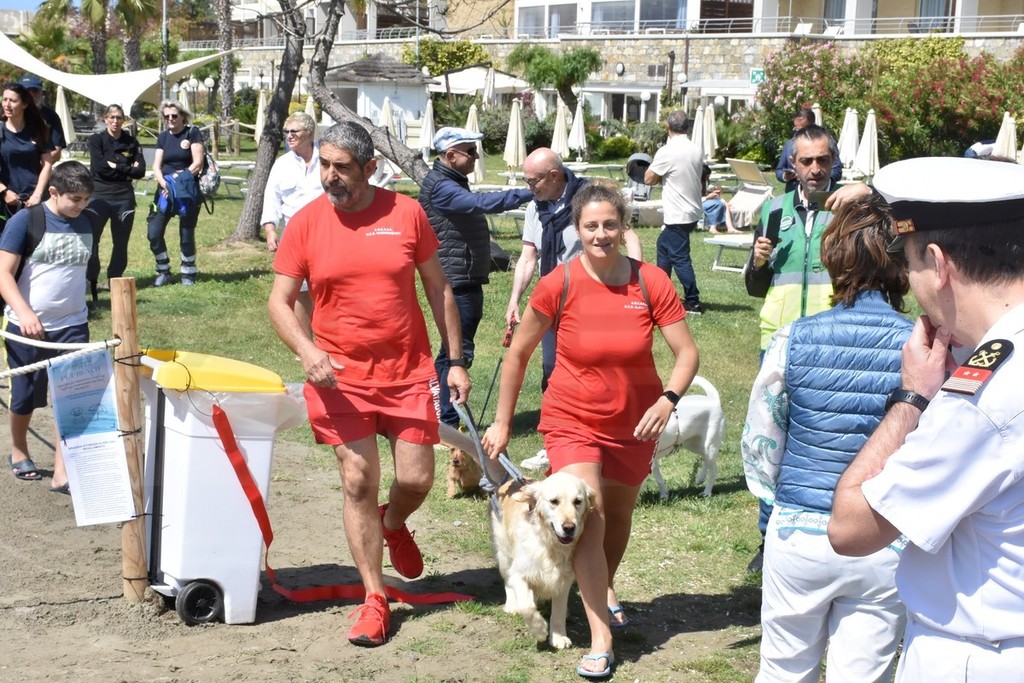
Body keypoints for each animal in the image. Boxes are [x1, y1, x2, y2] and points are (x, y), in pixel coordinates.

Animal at [490, 471, 595, 649]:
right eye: (554, 501)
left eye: (577, 501)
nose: (569, 528)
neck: (550, 545)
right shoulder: (519, 573)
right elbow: (526, 606)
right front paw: (539, 629)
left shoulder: (563, 580)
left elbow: (558, 612)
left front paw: (558, 636)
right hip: (504, 553)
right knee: (508, 581)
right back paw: (511, 605)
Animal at [519, 375, 725, 499]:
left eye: (543, 455)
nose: (526, 463)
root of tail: (713, 400)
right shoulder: (652, 463)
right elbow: (659, 479)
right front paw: (664, 495)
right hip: (693, 443)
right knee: (706, 462)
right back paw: (699, 478)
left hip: (708, 445)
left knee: (714, 468)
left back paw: (706, 491)